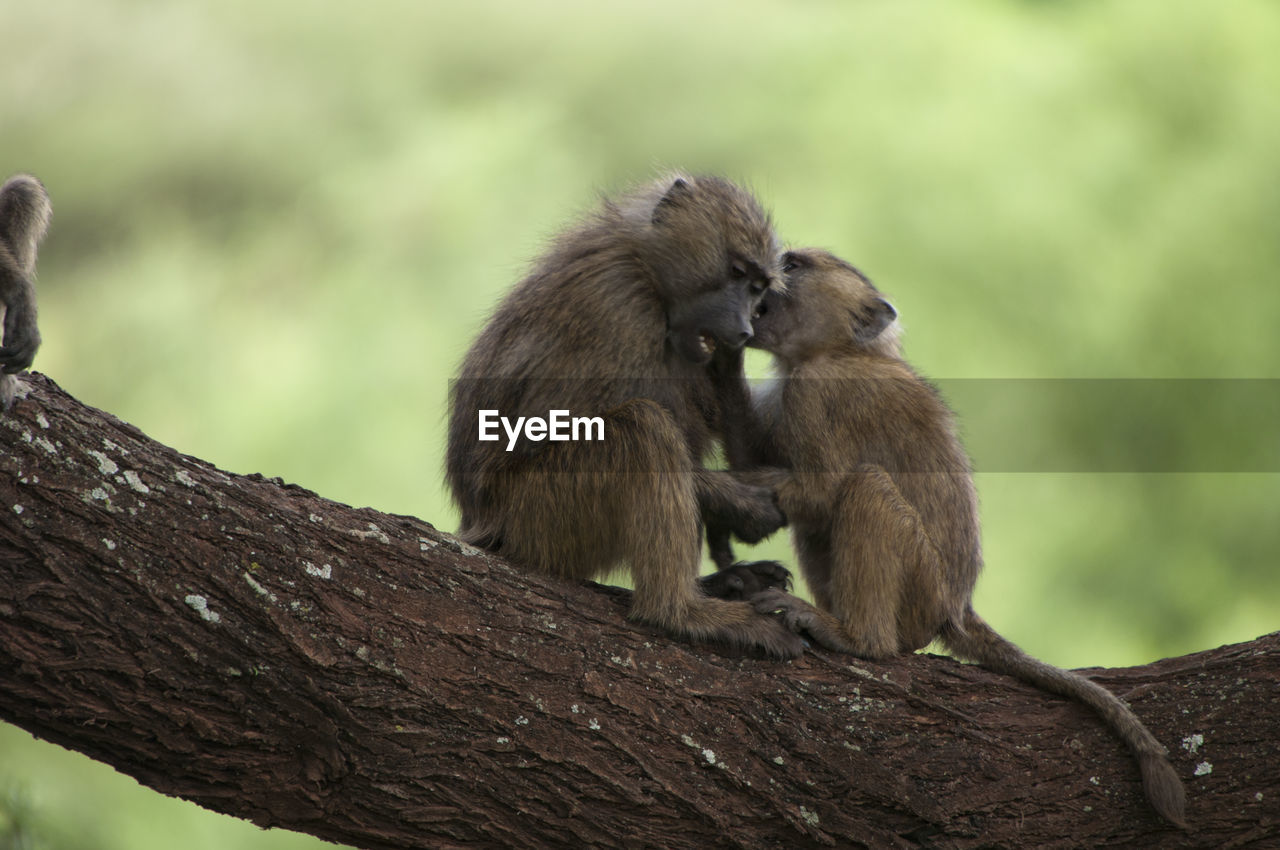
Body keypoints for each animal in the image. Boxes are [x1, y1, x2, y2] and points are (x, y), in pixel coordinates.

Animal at [450, 174, 798, 655]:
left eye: (758, 287)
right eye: (735, 272)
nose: (744, 329)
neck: (649, 276)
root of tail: (481, 525)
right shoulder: (615, 305)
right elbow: (551, 425)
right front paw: (739, 502)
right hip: (537, 516)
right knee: (645, 428)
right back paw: (682, 612)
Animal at [716, 249, 1182, 824]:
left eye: (794, 264)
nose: (762, 269)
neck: (837, 349)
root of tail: (955, 606)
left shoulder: (820, 395)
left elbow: (821, 492)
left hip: (921, 586)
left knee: (865, 489)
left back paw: (856, 638)